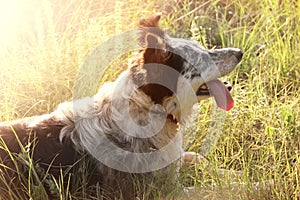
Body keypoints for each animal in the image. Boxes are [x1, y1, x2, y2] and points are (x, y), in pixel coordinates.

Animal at [0, 14, 243, 199]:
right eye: (203, 58)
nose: (240, 52)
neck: (147, 108)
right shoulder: (165, 191)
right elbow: (215, 189)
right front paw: (248, 184)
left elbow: (198, 157)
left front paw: (236, 172)